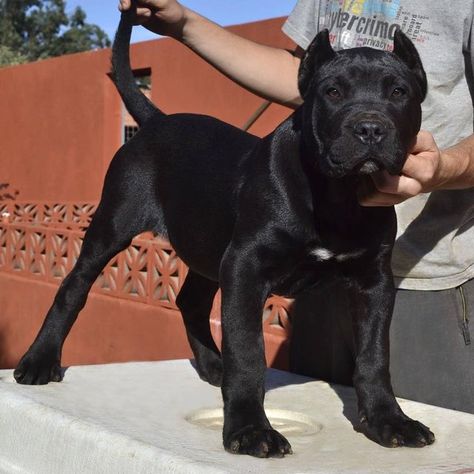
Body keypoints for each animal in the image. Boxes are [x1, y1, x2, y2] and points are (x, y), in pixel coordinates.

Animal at [14, 9, 436, 458]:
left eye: (399, 92)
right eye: (333, 91)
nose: (370, 128)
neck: (338, 194)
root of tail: (156, 121)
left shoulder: (373, 280)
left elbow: (374, 355)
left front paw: (388, 420)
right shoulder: (246, 266)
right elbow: (248, 352)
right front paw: (250, 429)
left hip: (208, 246)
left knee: (190, 301)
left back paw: (213, 365)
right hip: (113, 225)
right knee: (73, 287)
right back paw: (39, 361)